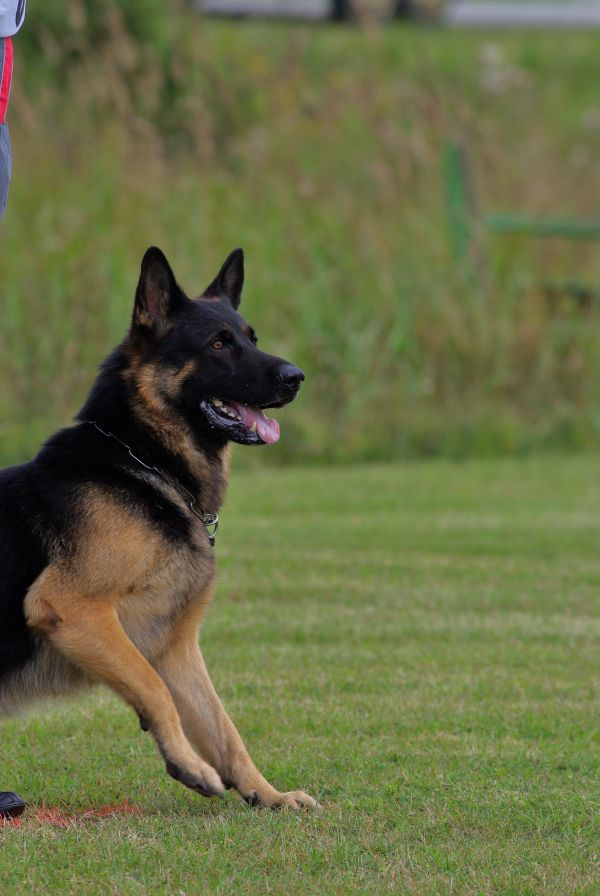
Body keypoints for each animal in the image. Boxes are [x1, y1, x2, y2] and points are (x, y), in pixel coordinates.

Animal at [0, 247, 318, 812]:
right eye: (218, 344)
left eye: (251, 337)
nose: (296, 376)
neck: (140, 462)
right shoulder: (72, 608)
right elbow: (155, 690)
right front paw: (189, 766)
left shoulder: (174, 644)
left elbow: (223, 726)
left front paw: (266, 794)